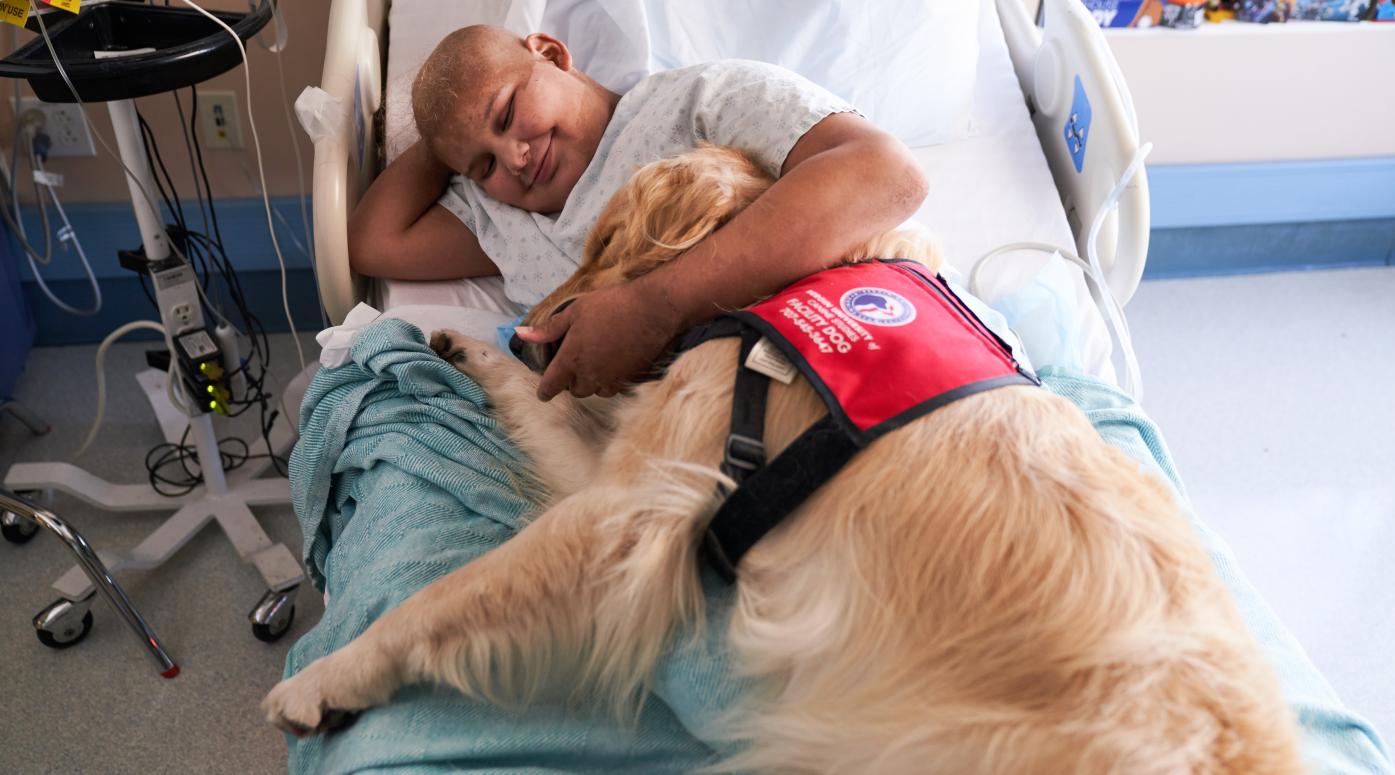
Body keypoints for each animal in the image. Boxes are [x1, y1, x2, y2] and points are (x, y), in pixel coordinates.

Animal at [263, 147, 1305, 775]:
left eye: (604, 241)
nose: (521, 334)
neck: (796, 275)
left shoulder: (628, 515)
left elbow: (445, 594)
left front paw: (325, 679)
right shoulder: (635, 471)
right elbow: (540, 417)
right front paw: (465, 350)